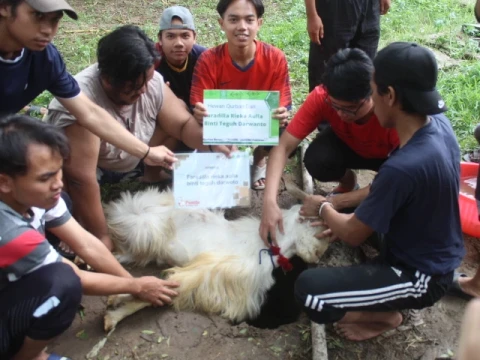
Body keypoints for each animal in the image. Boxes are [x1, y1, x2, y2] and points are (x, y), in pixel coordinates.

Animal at [103, 188, 328, 332]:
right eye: (317, 227)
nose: (317, 255)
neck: (269, 245)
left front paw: (114, 306)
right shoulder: (211, 271)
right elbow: (167, 286)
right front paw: (113, 314)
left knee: (123, 254)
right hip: (146, 229)